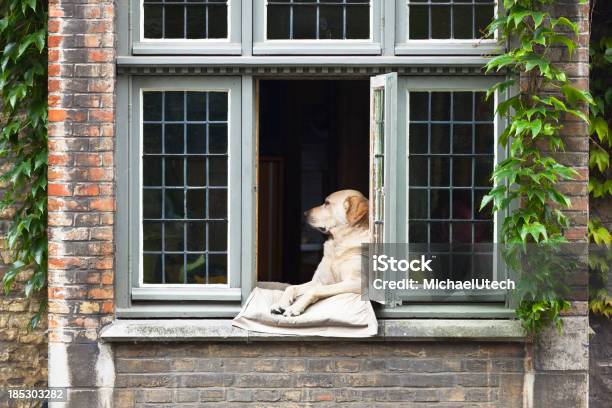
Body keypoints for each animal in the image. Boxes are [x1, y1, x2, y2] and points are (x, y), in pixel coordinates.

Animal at [272, 190, 368, 318]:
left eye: (327, 203)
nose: (304, 213)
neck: (337, 244)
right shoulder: (319, 281)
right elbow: (291, 287)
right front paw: (280, 304)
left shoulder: (357, 283)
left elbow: (315, 290)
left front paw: (295, 307)